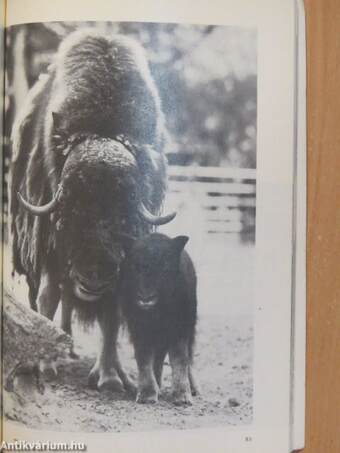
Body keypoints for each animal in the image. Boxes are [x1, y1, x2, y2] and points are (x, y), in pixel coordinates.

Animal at [10, 29, 175, 392]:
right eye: (70, 209)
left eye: (125, 210)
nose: (92, 278)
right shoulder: (51, 245)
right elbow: (49, 297)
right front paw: (45, 364)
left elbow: (112, 313)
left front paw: (111, 377)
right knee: (42, 296)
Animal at [121, 233, 199, 402]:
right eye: (135, 267)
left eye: (164, 266)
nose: (145, 298)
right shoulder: (138, 329)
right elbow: (144, 358)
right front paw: (147, 394)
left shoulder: (180, 328)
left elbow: (179, 357)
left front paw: (182, 395)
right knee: (157, 359)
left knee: (188, 356)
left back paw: (194, 388)